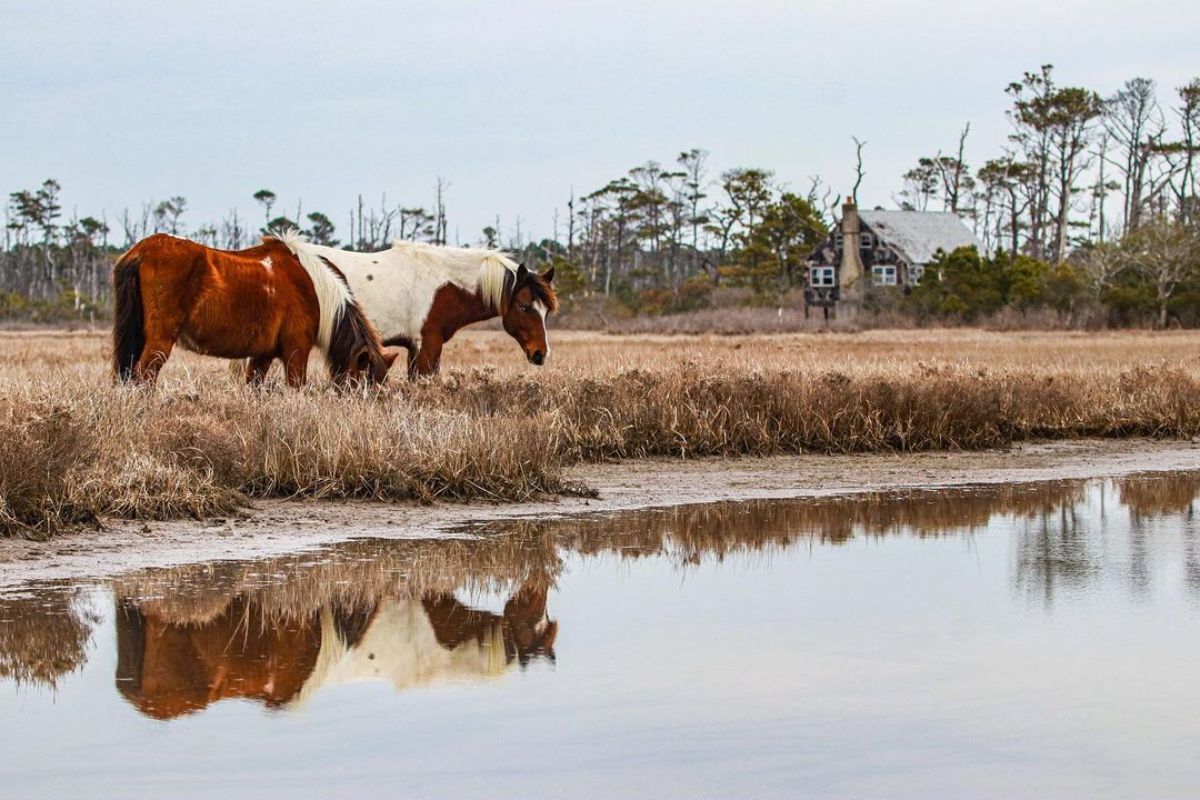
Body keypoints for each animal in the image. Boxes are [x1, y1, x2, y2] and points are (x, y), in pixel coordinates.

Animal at [111, 231, 398, 388]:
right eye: (364, 384)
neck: (313, 286)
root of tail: (142, 250)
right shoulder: (296, 351)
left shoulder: (263, 355)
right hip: (160, 341)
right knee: (143, 377)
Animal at [272, 237, 556, 379]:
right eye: (524, 307)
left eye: (546, 312)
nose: (541, 354)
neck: (445, 284)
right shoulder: (428, 345)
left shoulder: (413, 347)